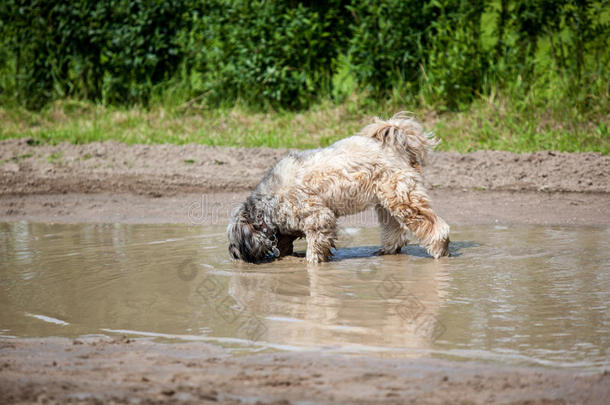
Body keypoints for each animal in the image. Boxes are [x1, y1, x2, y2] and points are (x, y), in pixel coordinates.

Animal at [226, 112, 448, 264]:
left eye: (234, 242)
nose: (233, 254)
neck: (267, 205)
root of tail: (395, 146)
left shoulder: (318, 217)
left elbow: (315, 246)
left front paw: (311, 263)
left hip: (404, 199)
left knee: (436, 227)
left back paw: (440, 249)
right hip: (386, 203)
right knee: (395, 231)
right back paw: (386, 251)